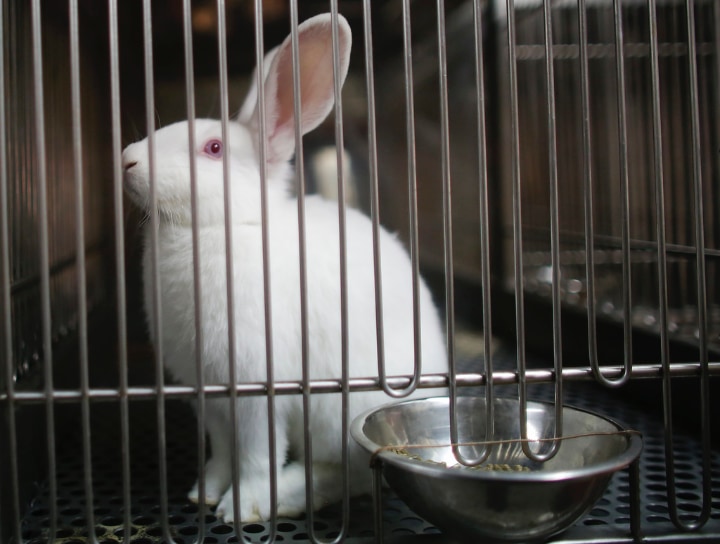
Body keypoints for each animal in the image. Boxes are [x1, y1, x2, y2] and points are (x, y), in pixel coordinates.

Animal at [122, 13, 448, 523]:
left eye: (213, 149)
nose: (127, 160)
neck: (222, 229)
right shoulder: (209, 395)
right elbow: (222, 450)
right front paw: (206, 492)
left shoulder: (259, 389)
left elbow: (257, 454)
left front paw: (242, 507)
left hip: (344, 410)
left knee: (352, 473)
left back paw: (293, 492)